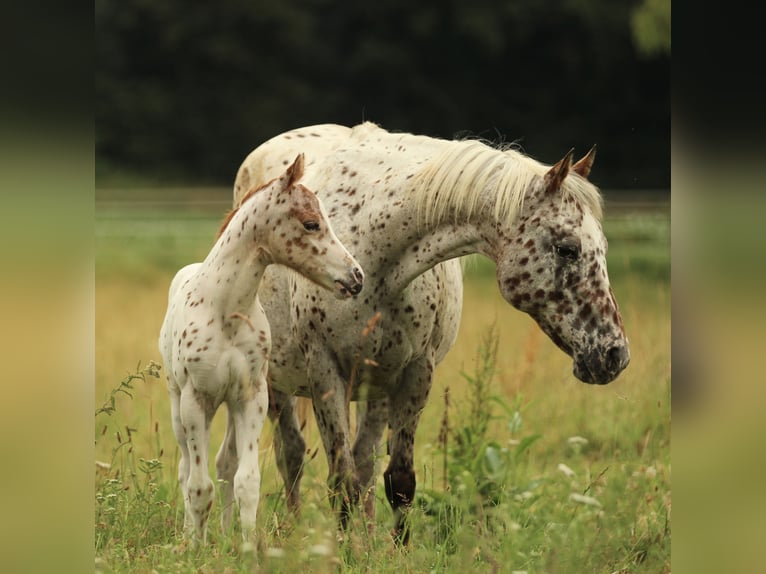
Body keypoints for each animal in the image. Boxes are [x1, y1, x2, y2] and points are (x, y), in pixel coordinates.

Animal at [158, 154, 364, 545]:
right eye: (311, 223)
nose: (356, 277)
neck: (225, 311)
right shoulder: (197, 400)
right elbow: (198, 487)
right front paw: (195, 548)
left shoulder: (251, 396)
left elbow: (246, 481)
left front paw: (247, 547)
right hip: (178, 402)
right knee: (184, 469)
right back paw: (189, 536)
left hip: (228, 405)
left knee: (225, 462)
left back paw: (223, 535)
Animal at [232, 122, 630, 544]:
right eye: (567, 248)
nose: (614, 354)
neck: (376, 251)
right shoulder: (325, 370)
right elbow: (340, 478)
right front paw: (341, 551)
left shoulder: (414, 372)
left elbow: (398, 480)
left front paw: (390, 550)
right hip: (278, 382)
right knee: (292, 455)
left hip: (375, 386)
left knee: (364, 462)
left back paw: (366, 539)